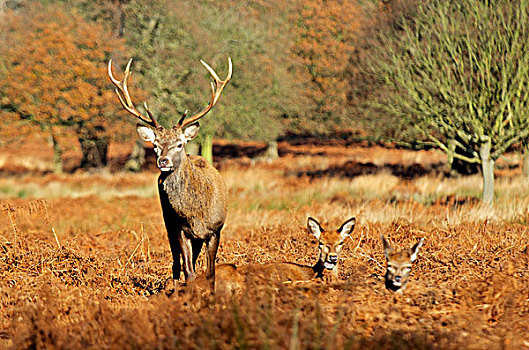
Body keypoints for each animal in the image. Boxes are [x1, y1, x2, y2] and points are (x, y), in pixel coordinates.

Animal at [107, 56, 231, 290]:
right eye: (155, 145)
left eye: (179, 144)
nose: (163, 161)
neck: (196, 213)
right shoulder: (180, 228)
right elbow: (189, 271)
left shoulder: (215, 230)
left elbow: (210, 273)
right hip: (168, 222)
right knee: (176, 263)